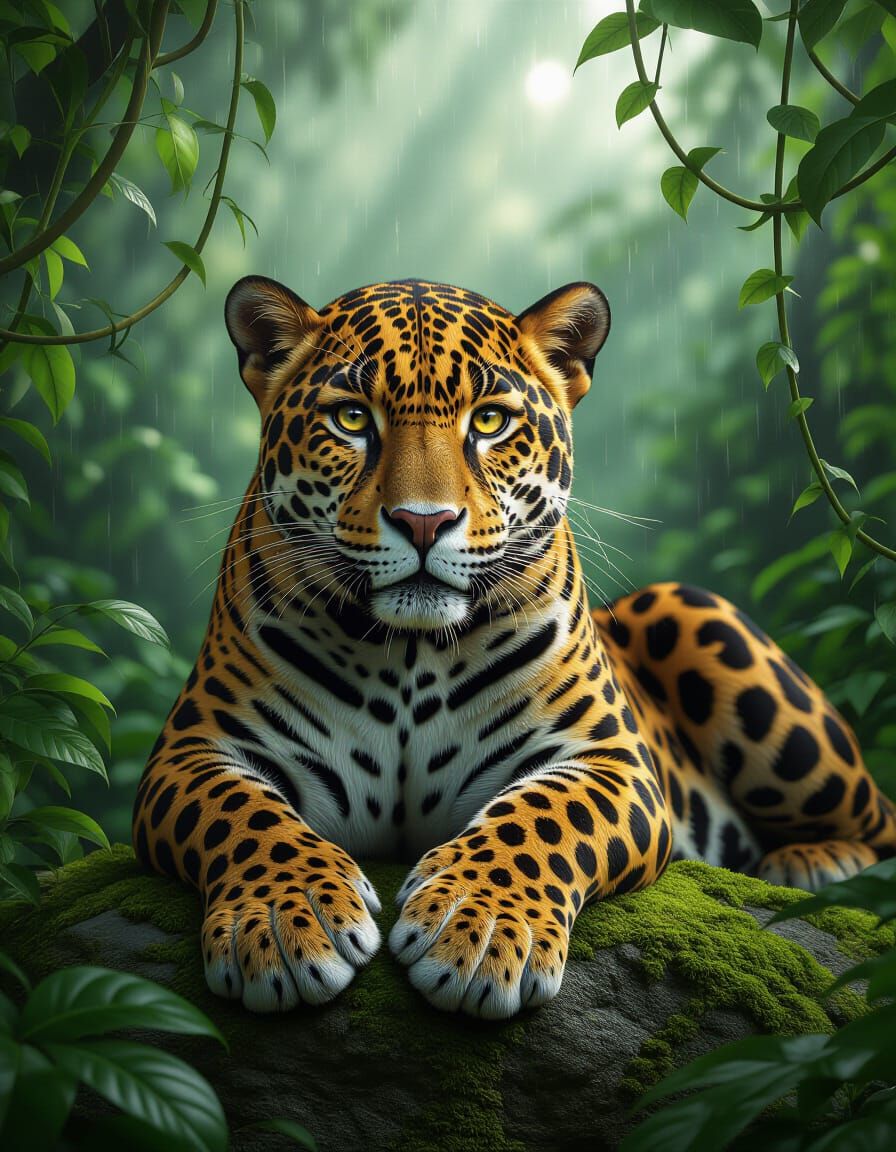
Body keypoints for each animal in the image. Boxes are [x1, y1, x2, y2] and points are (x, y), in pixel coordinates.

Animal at [133, 274, 896, 1019]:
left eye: (490, 421)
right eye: (350, 419)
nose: (424, 521)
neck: (408, 655)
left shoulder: (609, 758)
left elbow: (540, 823)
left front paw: (480, 930)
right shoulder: (195, 750)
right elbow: (246, 818)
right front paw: (287, 923)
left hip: (698, 616)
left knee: (879, 817)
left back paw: (812, 863)